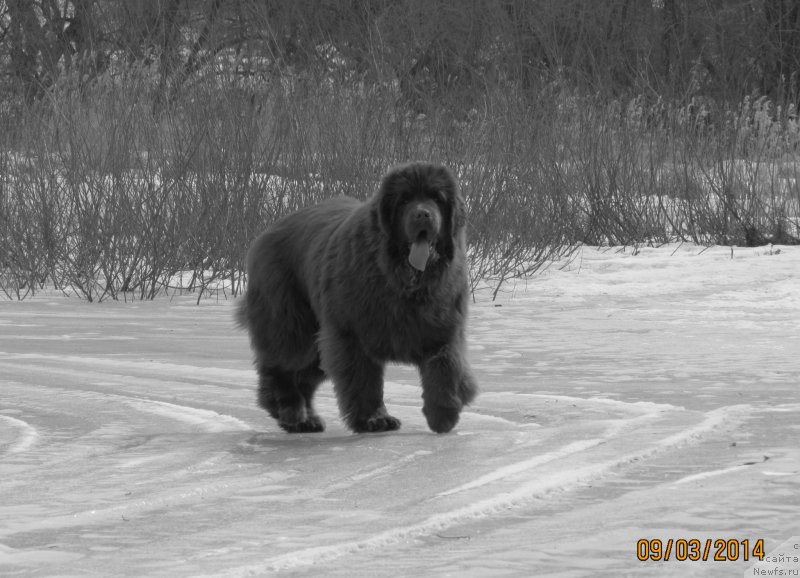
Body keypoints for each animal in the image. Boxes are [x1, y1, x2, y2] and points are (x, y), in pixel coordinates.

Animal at [236, 162, 476, 432]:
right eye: (404, 200)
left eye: (437, 198)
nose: (423, 214)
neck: (403, 281)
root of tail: (267, 232)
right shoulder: (351, 335)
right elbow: (364, 380)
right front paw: (375, 418)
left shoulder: (443, 326)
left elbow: (446, 367)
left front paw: (443, 413)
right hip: (293, 327)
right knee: (282, 366)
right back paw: (290, 412)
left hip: (318, 340)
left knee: (304, 376)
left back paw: (307, 420)